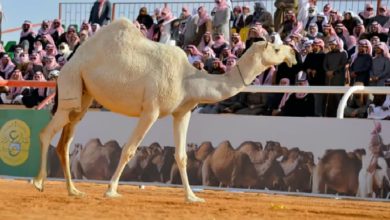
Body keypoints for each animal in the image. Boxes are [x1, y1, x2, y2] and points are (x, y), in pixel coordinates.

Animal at [32, 18, 296, 202]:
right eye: (275, 49)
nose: (293, 54)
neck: (187, 79)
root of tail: (68, 64)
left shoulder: (182, 112)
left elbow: (182, 156)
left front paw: (192, 197)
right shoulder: (151, 110)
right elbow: (129, 149)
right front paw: (111, 190)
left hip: (84, 97)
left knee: (65, 141)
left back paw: (73, 190)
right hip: (72, 84)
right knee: (47, 132)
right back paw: (39, 183)